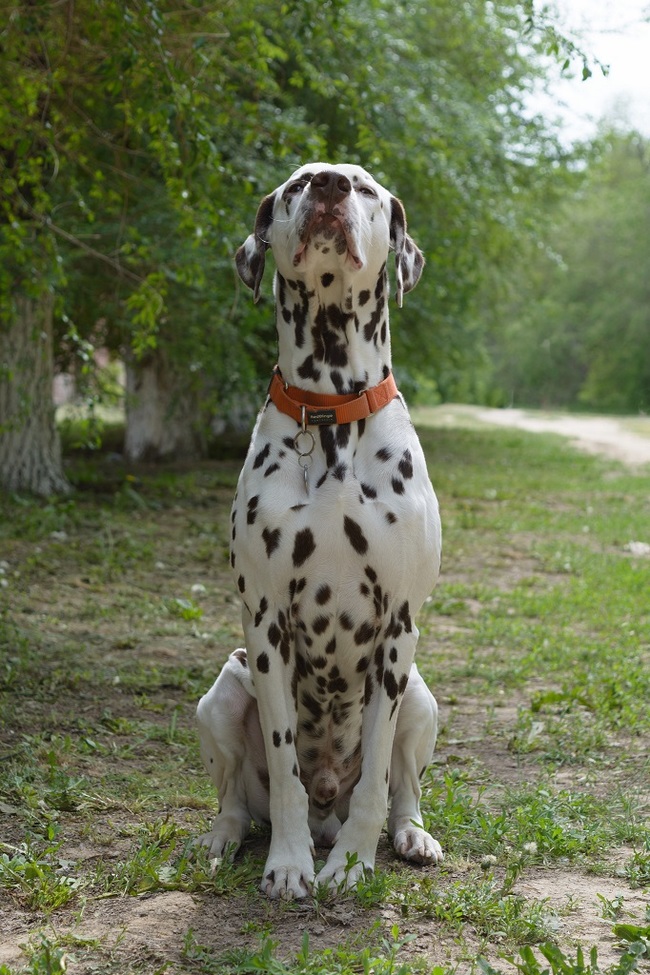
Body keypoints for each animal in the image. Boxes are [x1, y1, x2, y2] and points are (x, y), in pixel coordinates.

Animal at [196, 162, 440, 900]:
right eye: (297, 184)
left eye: (364, 188)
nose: (329, 183)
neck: (330, 414)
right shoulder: (266, 622)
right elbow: (285, 770)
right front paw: (288, 862)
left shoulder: (398, 626)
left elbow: (379, 768)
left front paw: (354, 863)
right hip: (221, 692)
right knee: (235, 799)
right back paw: (223, 840)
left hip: (424, 697)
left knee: (403, 785)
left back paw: (409, 835)